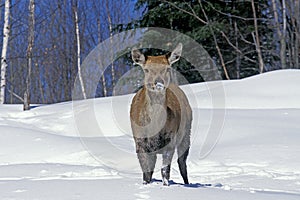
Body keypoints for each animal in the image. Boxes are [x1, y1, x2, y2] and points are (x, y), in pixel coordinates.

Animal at [131, 43, 192, 186]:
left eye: (167, 68)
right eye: (146, 70)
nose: (158, 83)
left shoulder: (170, 140)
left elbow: (165, 171)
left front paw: (165, 185)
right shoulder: (139, 141)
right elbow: (146, 172)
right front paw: (145, 184)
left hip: (186, 134)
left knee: (182, 163)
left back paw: (187, 183)